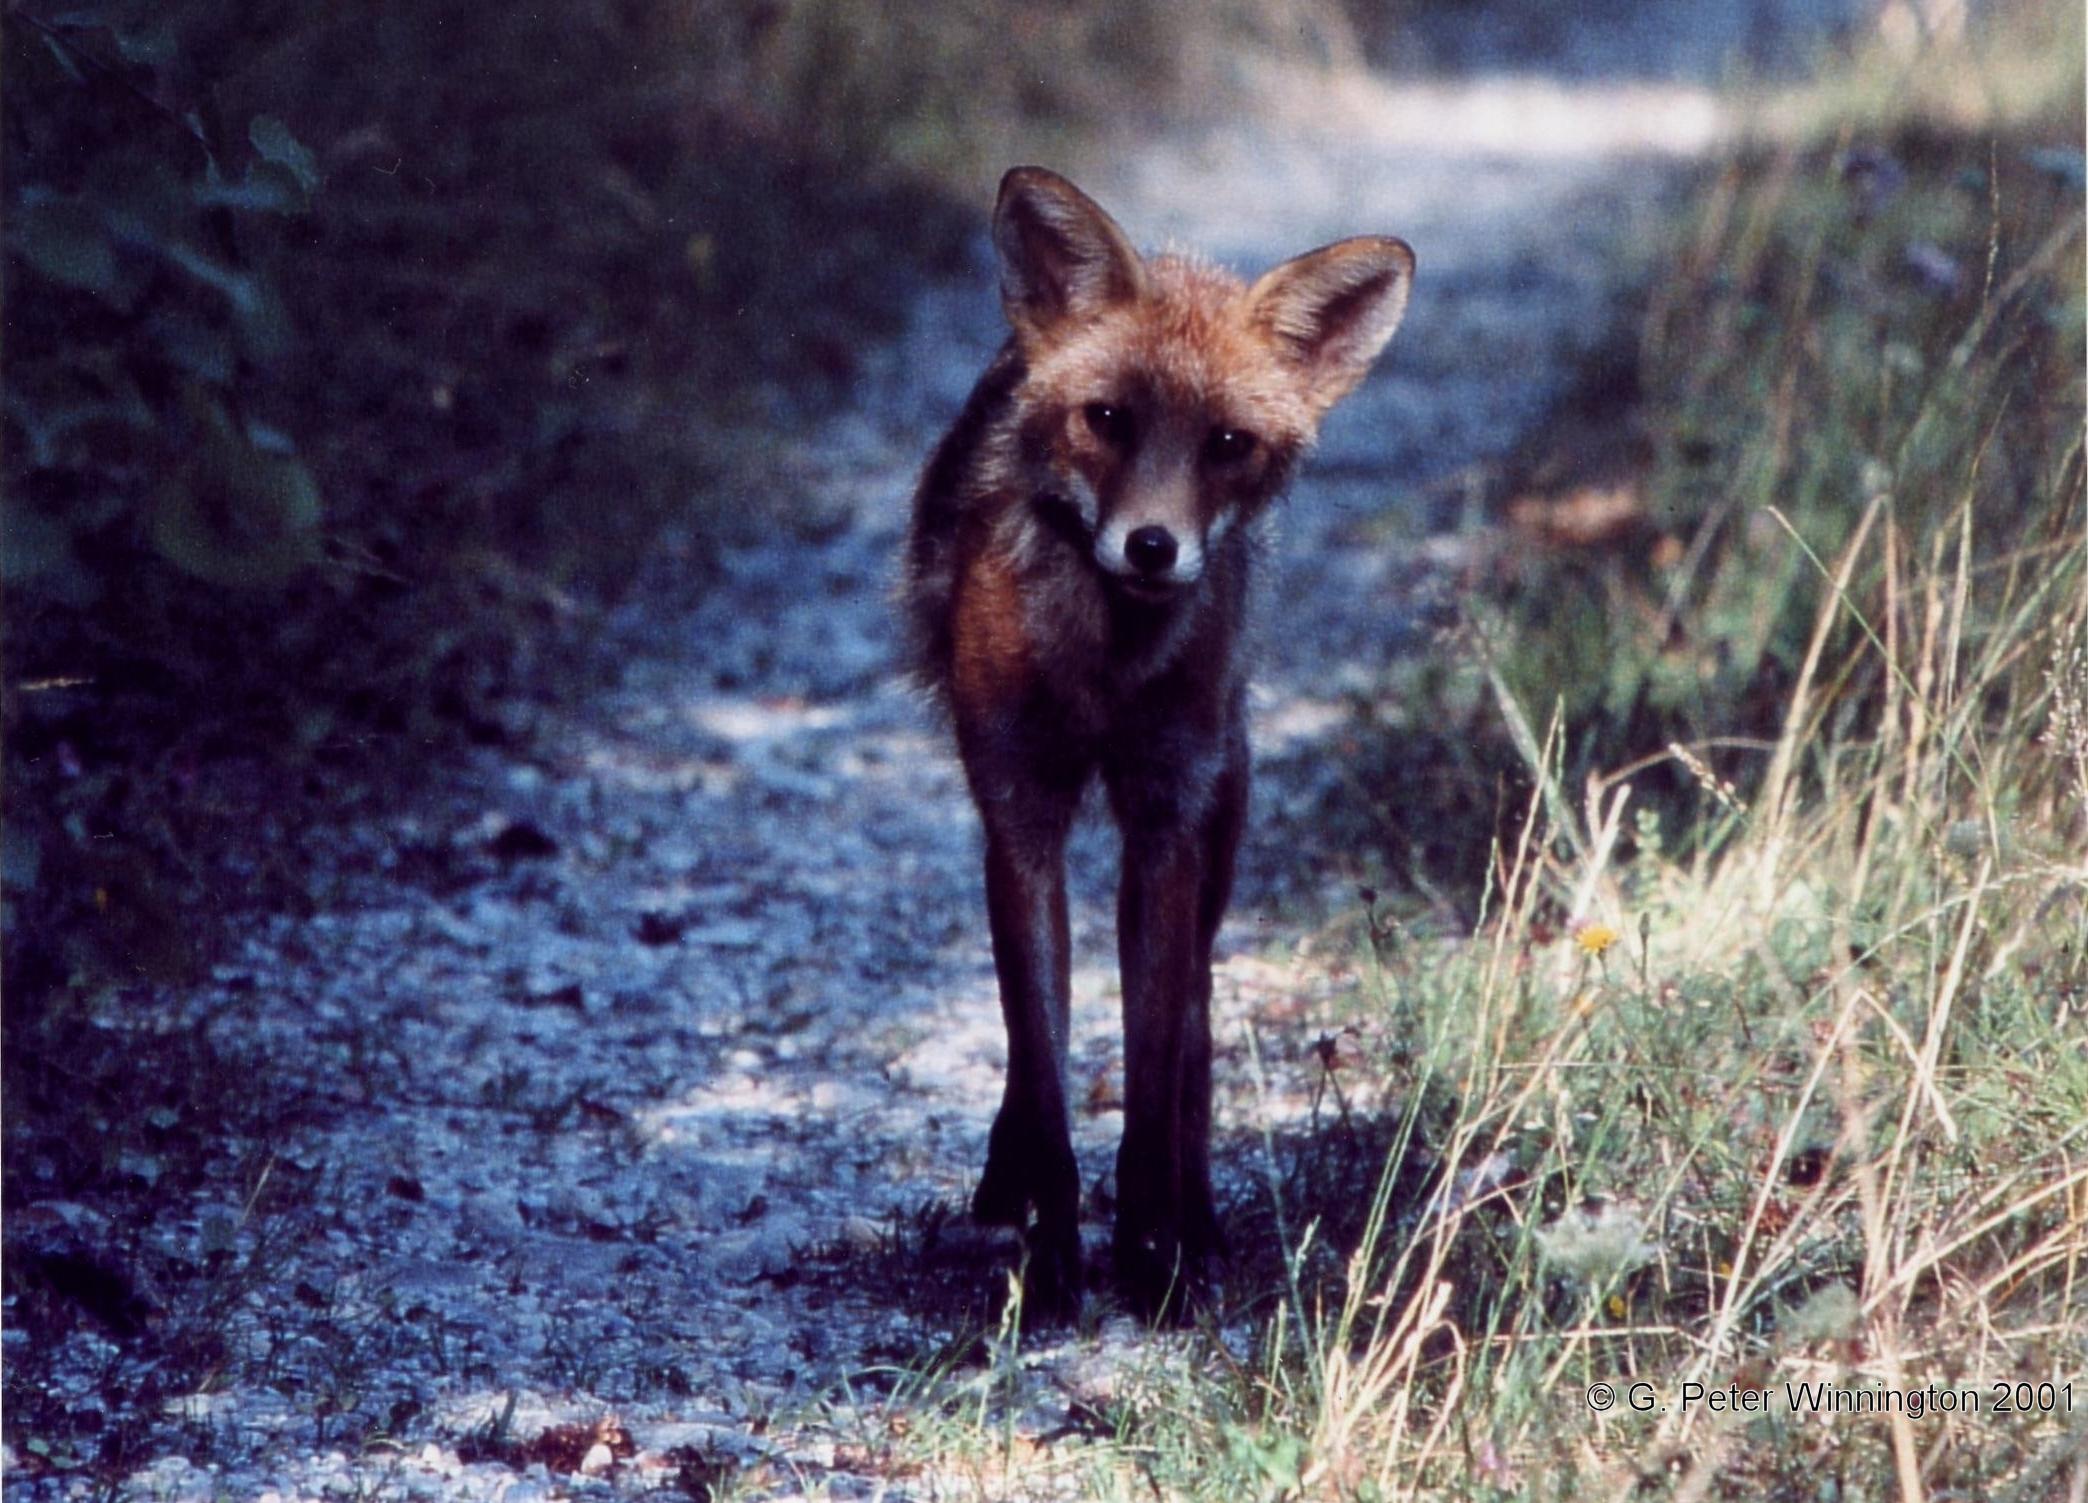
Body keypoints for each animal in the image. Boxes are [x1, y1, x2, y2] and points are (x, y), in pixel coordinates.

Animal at [906, 164, 1411, 1319]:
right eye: (1107, 419)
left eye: (1226, 444)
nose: (1151, 546)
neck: (1107, 671)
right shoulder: (1020, 810)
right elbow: (1044, 1067)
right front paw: (1052, 1259)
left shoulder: (1166, 817)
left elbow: (1150, 1063)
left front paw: (1152, 1254)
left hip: (1219, 814)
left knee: (1194, 1022)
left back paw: (1201, 1218)